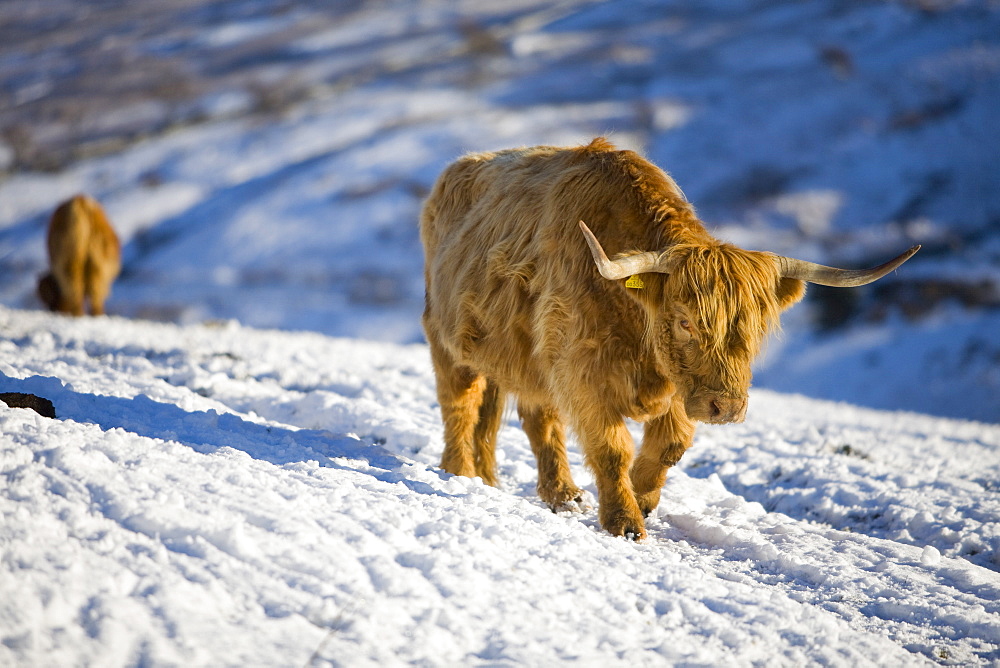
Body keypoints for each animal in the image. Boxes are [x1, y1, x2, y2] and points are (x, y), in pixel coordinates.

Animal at [418, 138, 916, 540]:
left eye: (756, 329)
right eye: (684, 322)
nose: (726, 407)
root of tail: (452, 173)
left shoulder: (678, 385)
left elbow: (670, 446)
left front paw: (643, 498)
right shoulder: (582, 372)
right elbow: (612, 448)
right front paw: (625, 522)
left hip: (524, 355)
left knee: (531, 417)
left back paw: (557, 494)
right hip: (447, 341)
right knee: (461, 406)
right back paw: (461, 475)